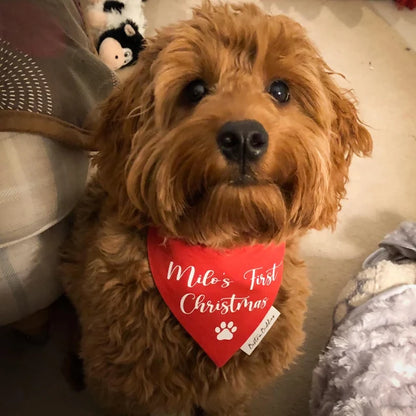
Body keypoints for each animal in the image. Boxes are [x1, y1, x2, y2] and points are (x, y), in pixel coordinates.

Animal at [62, 1, 374, 414]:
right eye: (195, 90)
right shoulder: (139, 391)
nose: (243, 136)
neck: (223, 254)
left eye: (280, 90)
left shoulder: (232, 390)